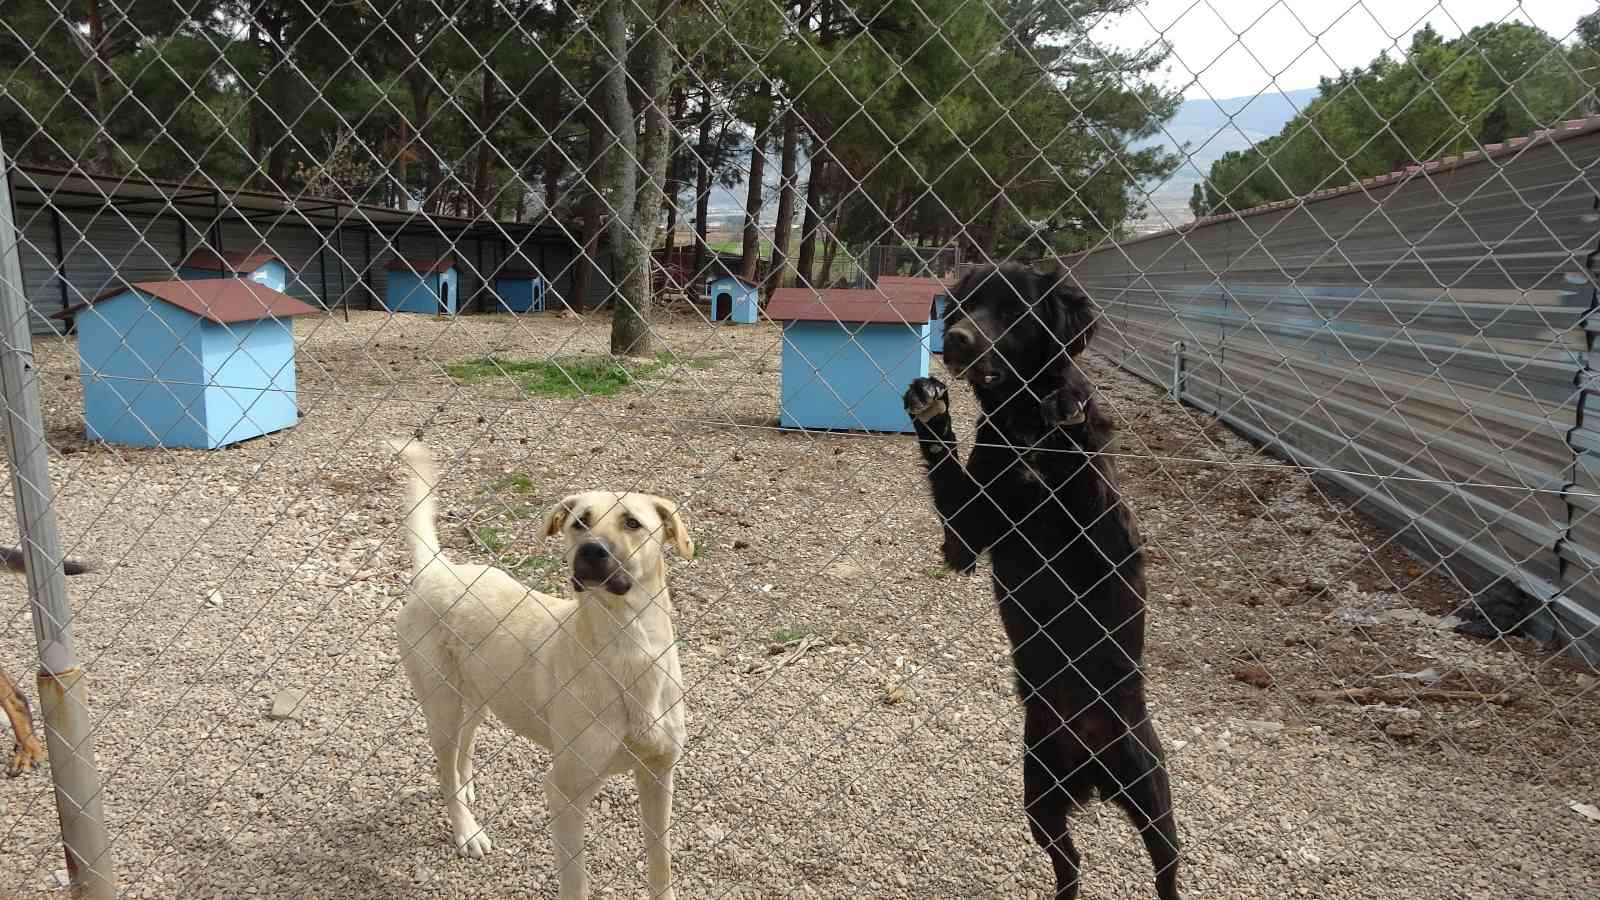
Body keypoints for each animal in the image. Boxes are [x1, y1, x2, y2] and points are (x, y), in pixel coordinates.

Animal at [390, 441, 691, 896]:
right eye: (580, 522)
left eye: (632, 523)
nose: (591, 551)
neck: (628, 648)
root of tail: (441, 569)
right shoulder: (565, 791)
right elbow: (576, 881)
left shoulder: (658, 776)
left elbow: (661, 865)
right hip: (441, 703)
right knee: (444, 768)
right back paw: (467, 831)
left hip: (480, 693)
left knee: (464, 745)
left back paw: (467, 788)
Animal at [908, 262, 1184, 890]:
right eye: (965, 305)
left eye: (1014, 311)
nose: (955, 338)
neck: (1020, 422)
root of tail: (1093, 771)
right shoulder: (964, 539)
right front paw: (929, 404)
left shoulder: (1113, 540)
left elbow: (1081, 462)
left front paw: (1068, 411)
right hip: (1038, 793)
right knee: (1070, 865)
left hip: (1151, 789)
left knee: (1167, 869)